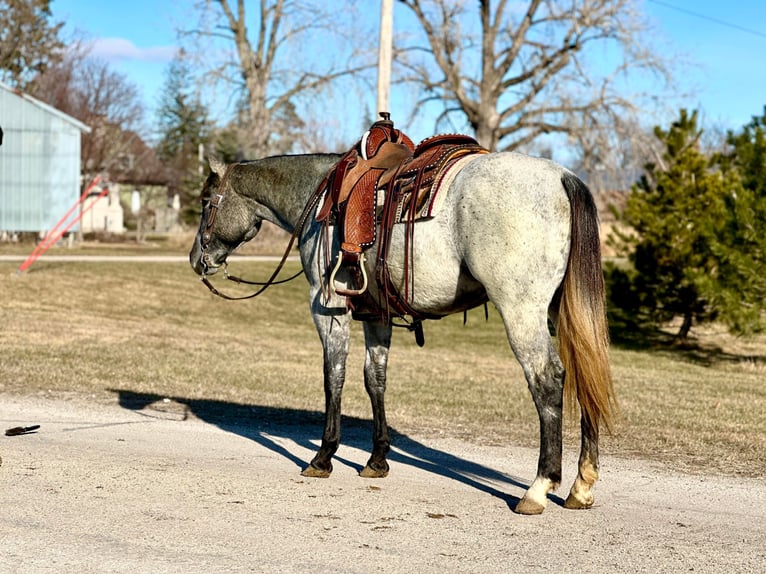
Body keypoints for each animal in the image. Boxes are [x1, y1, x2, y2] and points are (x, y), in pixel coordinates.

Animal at [190, 150, 616, 516]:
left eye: (207, 201)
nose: (198, 259)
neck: (320, 199)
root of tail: (562, 177)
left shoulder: (327, 308)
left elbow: (334, 376)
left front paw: (323, 456)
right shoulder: (375, 314)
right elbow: (374, 378)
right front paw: (377, 458)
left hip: (521, 311)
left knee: (548, 380)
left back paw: (539, 488)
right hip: (561, 312)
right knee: (583, 377)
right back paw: (581, 486)